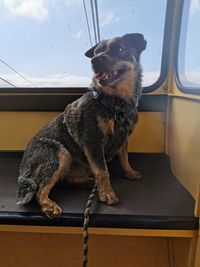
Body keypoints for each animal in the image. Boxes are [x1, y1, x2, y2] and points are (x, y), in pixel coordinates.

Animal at [16, 33, 146, 219]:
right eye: (96, 52)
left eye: (120, 49)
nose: (95, 60)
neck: (116, 105)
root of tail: (22, 171)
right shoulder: (92, 140)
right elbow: (102, 171)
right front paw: (107, 194)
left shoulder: (123, 138)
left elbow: (124, 158)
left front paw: (130, 173)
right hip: (58, 152)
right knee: (39, 190)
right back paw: (49, 205)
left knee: (65, 180)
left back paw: (88, 182)